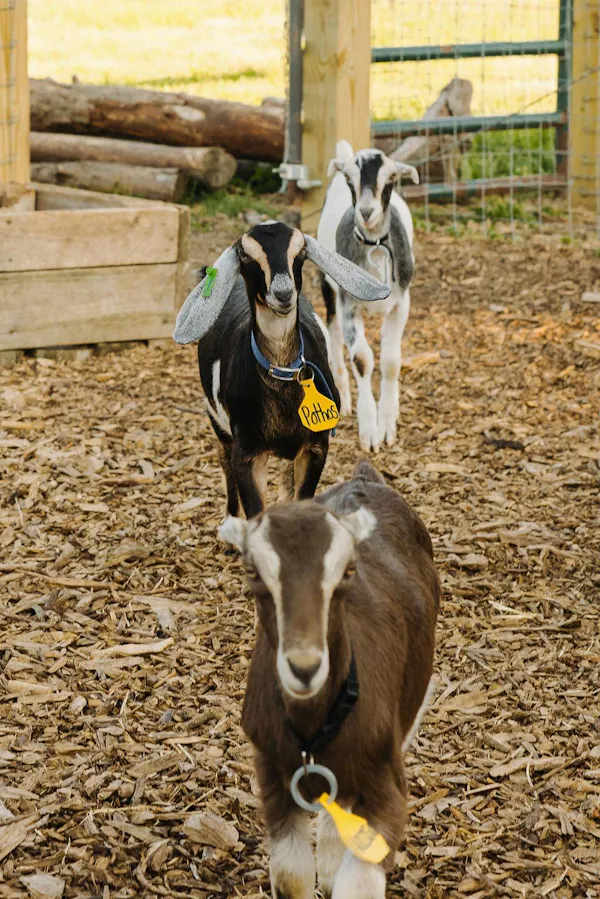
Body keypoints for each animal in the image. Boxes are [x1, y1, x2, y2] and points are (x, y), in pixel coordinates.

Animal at [173, 222, 390, 537]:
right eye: (246, 255)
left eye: (300, 251)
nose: (284, 292)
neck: (281, 375)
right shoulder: (247, 452)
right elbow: (254, 508)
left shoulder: (315, 446)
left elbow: (302, 497)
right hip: (217, 421)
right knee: (224, 462)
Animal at [226, 459, 440, 899]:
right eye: (253, 572)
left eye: (348, 569)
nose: (305, 666)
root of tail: (364, 477)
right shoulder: (271, 773)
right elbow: (291, 876)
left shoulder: (385, 781)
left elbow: (359, 882)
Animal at [317, 141, 419, 453]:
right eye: (351, 179)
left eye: (391, 179)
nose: (365, 212)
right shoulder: (348, 304)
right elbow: (361, 358)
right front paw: (370, 430)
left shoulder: (402, 303)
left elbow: (391, 361)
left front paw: (387, 424)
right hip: (328, 286)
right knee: (333, 332)